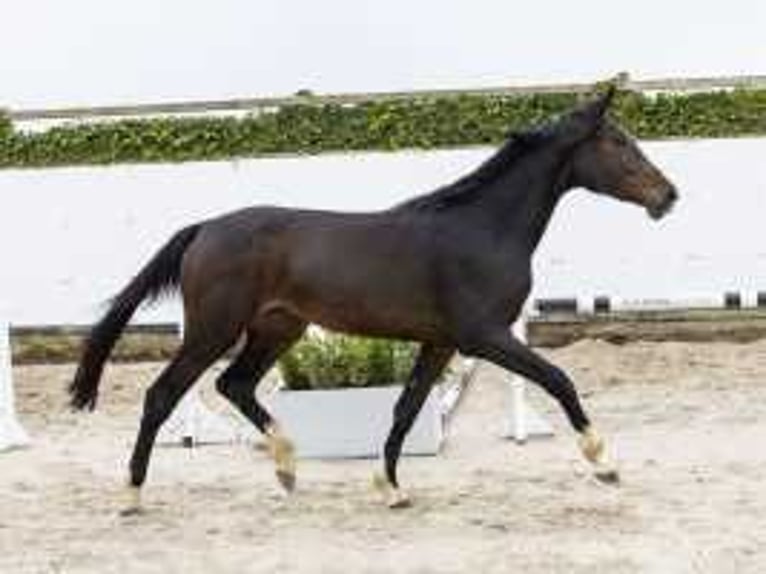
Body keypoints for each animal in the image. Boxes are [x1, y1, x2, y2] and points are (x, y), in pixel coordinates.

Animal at [69, 90, 676, 512]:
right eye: (619, 143)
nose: (668, 196)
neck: (481, 229)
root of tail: (205, 228)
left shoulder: (441, 342)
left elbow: (406, 410)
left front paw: (391, 489)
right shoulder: (485, 336)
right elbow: (559, 380)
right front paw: (604, 463)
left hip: (277, 327)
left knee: (233, 385)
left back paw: (288, 468)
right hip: (213, 329)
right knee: (162, 395)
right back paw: (132, 496)